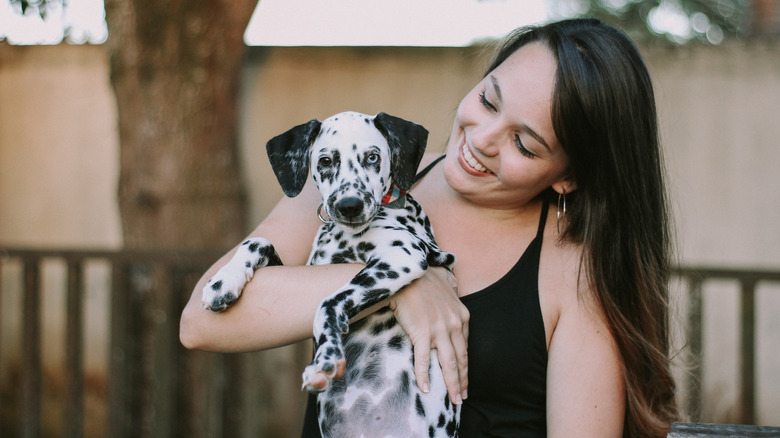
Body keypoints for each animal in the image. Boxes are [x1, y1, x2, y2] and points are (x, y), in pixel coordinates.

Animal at [203, 111, 458, 436]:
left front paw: (326, 356)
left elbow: (328, 303)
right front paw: (223, 281)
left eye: (373, 157)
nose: (350, 206)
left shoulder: (402, 256)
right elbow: (257, 241)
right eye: (325, 161)